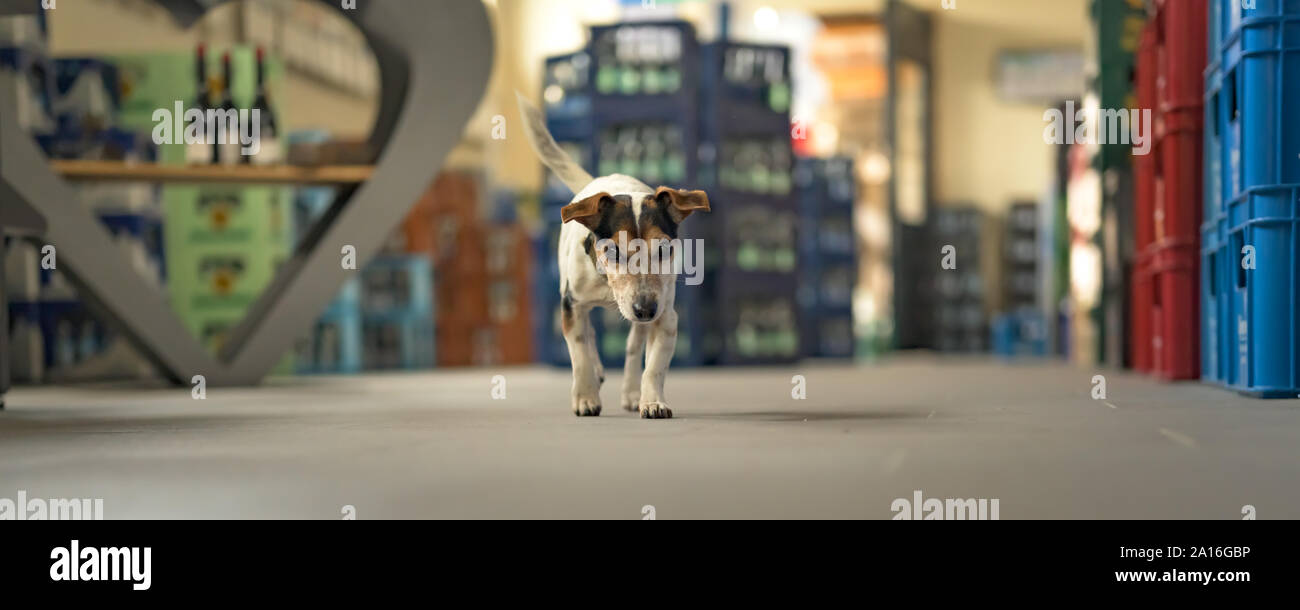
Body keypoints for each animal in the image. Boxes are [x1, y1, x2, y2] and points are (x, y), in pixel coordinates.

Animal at [514, 92, 707, 416]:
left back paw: (631, 392)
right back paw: (597, 372)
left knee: (632, 348)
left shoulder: (666, 317)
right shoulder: (571, 304)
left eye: (664, 249)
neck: (607, 286)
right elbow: (579, 354)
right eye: (613, 251)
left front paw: (652, 401)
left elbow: (653, 366)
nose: (644, 309)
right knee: (590, 337)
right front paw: (585, 398)